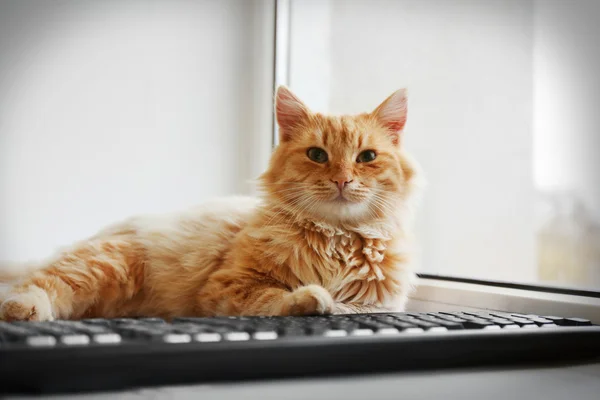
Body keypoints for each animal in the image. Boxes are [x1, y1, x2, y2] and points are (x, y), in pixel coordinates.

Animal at [0, 86, 422, 320]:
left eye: (366, 158)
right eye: (317, 155)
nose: (342, 180)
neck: (335, 237)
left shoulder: (380, 304)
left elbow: (351, 307)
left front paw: (329, 303)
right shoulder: (226, 286)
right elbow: (276, 296)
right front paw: (311, 298)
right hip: (106, 263)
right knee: (39, 284)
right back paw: (26, 309)